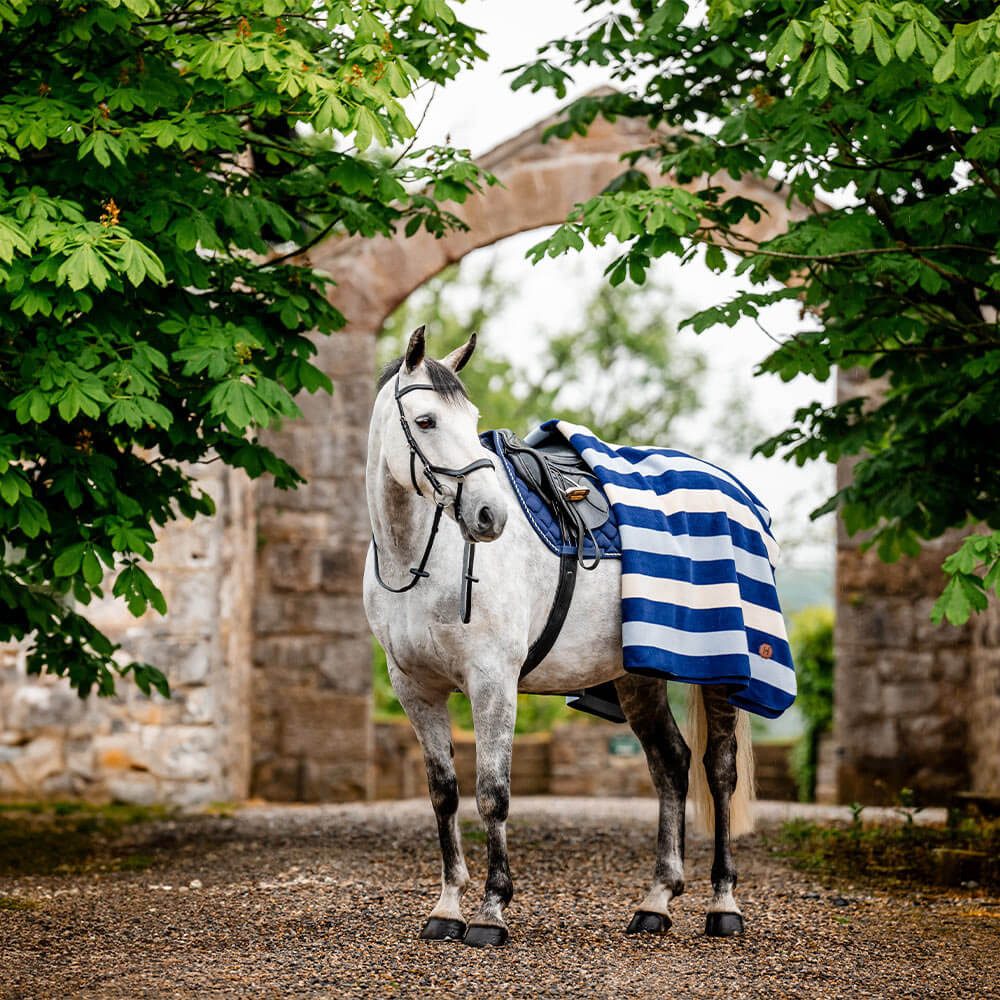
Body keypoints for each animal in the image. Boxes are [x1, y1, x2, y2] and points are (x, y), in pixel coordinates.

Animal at [363, 326, 755, 948]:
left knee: (719, 772)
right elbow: (444, 793)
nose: (489, 515)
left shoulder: (492, 681)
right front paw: (447, 907)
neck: (419, 560)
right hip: (638, 676)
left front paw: (491, 910)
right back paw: (656, 902)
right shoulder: (415, 689)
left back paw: (723, 904)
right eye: (425, 421)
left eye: (471, 417)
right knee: (670, 764)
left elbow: (492, 793)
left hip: (719, 670)